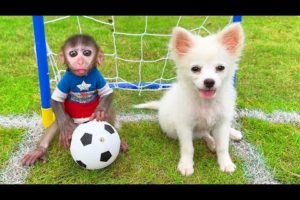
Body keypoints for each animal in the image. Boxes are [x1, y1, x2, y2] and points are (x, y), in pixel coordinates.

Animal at [21, 34, 127, 166]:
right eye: (73, 54)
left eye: (87, 53)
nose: (80, 61)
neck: (81, 78)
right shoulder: (65, 80)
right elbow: (56, 101)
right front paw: (65, 126)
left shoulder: (98, 77)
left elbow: (107, 94)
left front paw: (100, 112)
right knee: (58, 121)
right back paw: (39, 150)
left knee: (109, 110)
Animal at [135, 23, 245, 176]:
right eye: (195, 69)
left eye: (220, 68)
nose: (209, 82)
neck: (206, 102)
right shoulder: (185, 126)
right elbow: (188, 148)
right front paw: (186, 165)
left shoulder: (222, 123)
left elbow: (223, 146)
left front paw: (226, 163)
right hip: (172, 130)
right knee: (204, 134)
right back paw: (212, 142)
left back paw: (232, 133)